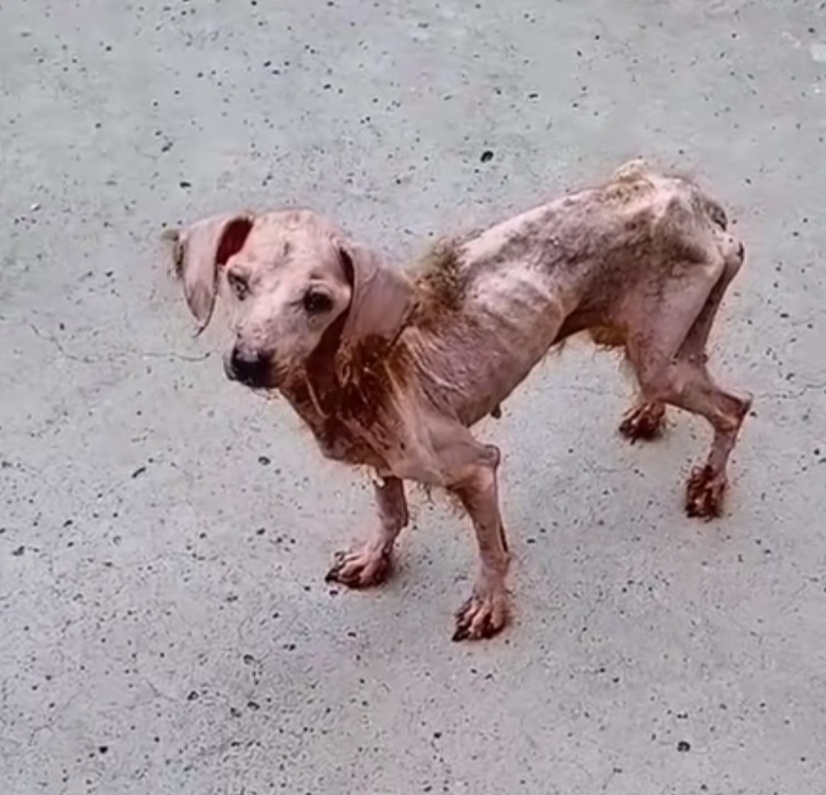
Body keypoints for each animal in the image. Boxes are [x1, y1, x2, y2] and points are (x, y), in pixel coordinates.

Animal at [168, 158, 750, 641]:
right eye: (237, 281)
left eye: (317, 301)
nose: (248, 361)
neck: (355, 373)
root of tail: (693, 198)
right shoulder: (381, 459)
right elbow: (390, 512)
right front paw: (373, 559)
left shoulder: (477, 467)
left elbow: (492, 549)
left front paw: (489, 606)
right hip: (655, 344)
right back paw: (649, 414)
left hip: (660, 358)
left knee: (734, 406)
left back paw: (709, 484)